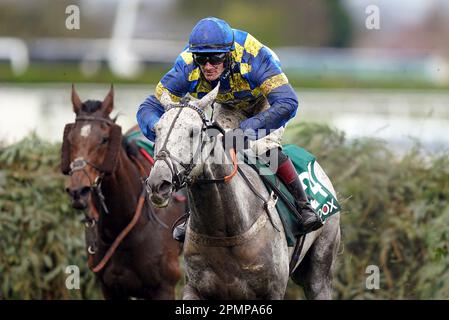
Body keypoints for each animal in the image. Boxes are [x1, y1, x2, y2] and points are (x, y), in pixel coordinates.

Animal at [146, 85, 340, 300]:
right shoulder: (195, 288)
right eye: (156, 130)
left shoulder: (273, 290)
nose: (158, 184)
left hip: (320, 268)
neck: (224, 228)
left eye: (193, 132)